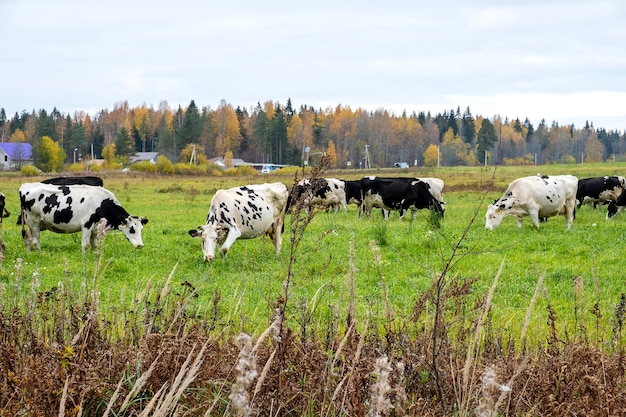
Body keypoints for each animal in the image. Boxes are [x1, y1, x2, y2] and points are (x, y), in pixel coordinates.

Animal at [19, 182, 147, 250]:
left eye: (141, 229)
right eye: (131, 230)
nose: (140, 245)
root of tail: (25, 186)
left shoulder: (96, 228)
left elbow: (94, 244)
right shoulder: (86, 224)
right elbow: (85, 245)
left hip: (35, 223)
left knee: (27, 237)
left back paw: (28, 253)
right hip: (34, 221)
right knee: (35, 241)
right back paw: (40, 254)